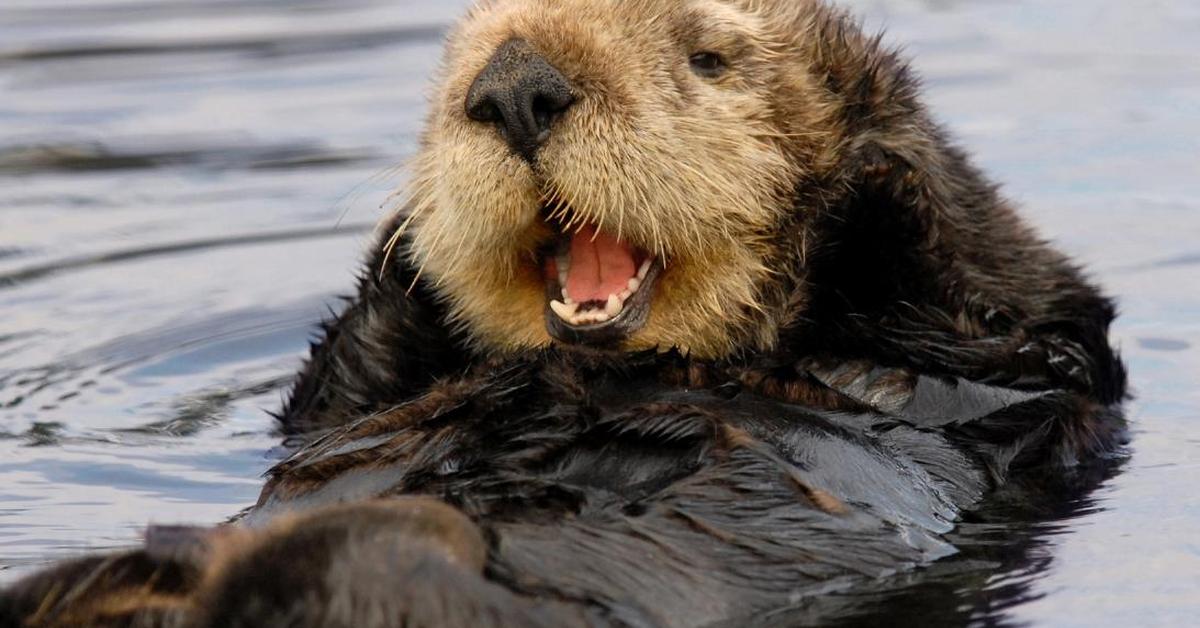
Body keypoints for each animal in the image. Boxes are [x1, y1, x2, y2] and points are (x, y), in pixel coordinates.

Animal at [2, 1, 1123, 628]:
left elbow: (1011, 338)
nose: (514, 87)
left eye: (710, 58)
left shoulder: (1019, 359)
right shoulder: (334, 407)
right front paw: (409, 242)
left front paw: (864, 169)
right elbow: (328, 396)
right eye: (462, 60)